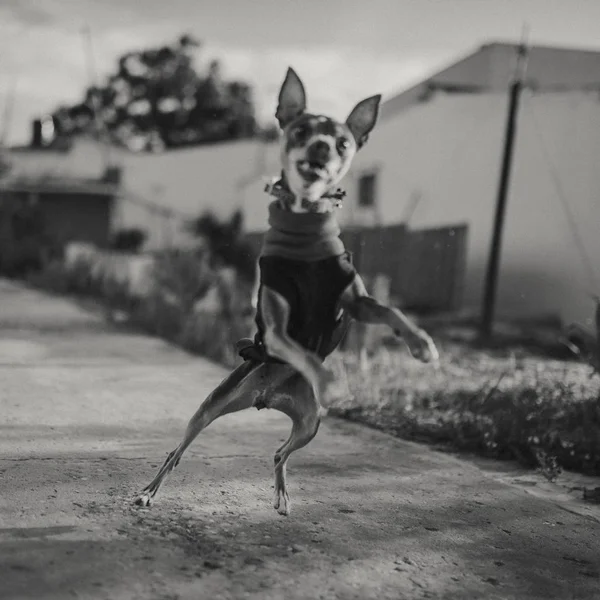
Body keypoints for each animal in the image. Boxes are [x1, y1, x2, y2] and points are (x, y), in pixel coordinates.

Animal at [134, 67, 438, 516]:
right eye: (301, 131)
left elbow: (390, 312)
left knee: (279, 452)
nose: (321, 148)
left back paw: (282, 494)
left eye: (343, 142)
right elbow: (300, 348)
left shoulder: (355, 300)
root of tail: (266, 396)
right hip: (212, 408)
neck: (306, 226)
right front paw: (330, 377)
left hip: (310, 423)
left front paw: (420, 343)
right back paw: (148, 492)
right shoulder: (277, 325)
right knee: (177, 452)